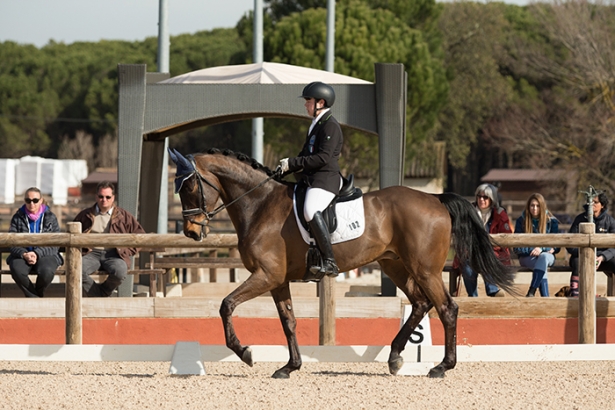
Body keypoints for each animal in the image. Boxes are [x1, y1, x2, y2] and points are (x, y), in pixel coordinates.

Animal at [167, 147, 516, 378]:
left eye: (190, 185)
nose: (191, 231)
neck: (260, 204)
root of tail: (435, 199)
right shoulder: (277, 279)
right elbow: (288, 321)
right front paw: (289, 367)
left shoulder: (265, 275)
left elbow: (226, 304)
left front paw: (245, 353)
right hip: (395, 265)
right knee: (420, 303)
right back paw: (395, 357)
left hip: (424, 268)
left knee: (446, 308)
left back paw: (442, 366)